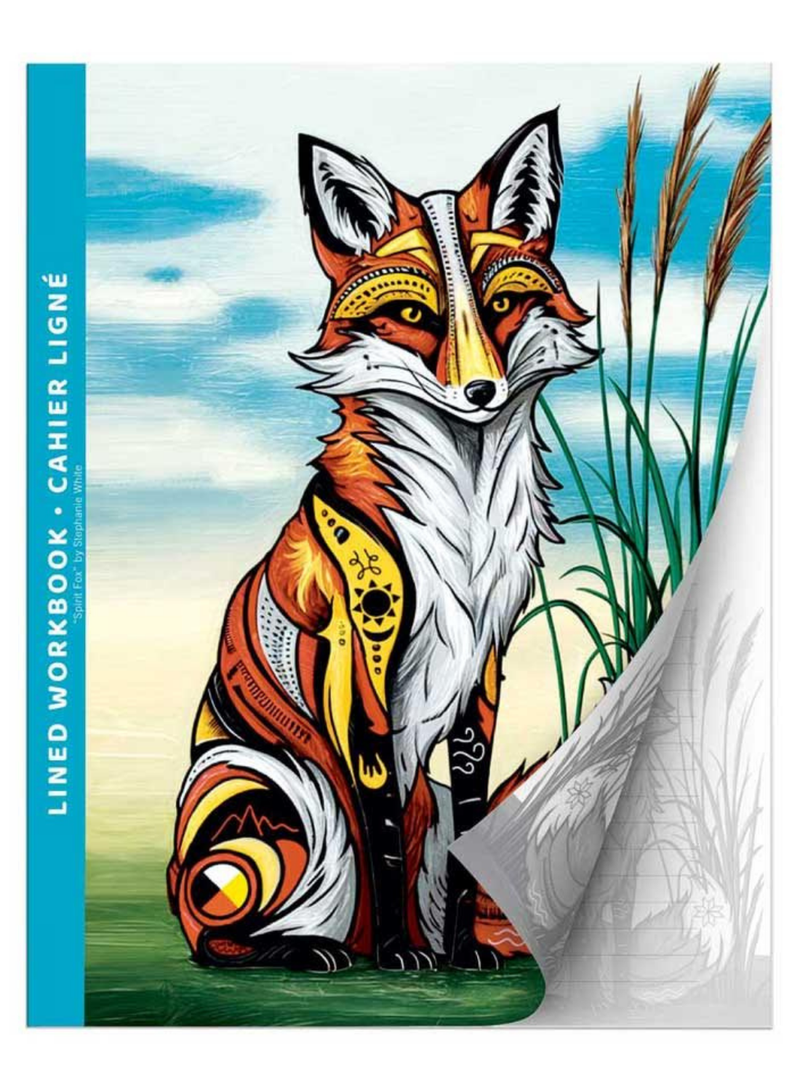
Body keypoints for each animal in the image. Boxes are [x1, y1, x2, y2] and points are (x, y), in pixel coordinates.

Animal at [167, 109, 595, 972]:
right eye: (417, 317)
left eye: (504, 304)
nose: (481, 391)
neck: (463, 518)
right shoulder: (360, 675)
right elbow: (382, 828)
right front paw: (400, 956)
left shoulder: (482, 671)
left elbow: (471, 824)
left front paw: (458, 953)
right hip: (265, 795)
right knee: (219, 935)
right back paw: (312, 948)